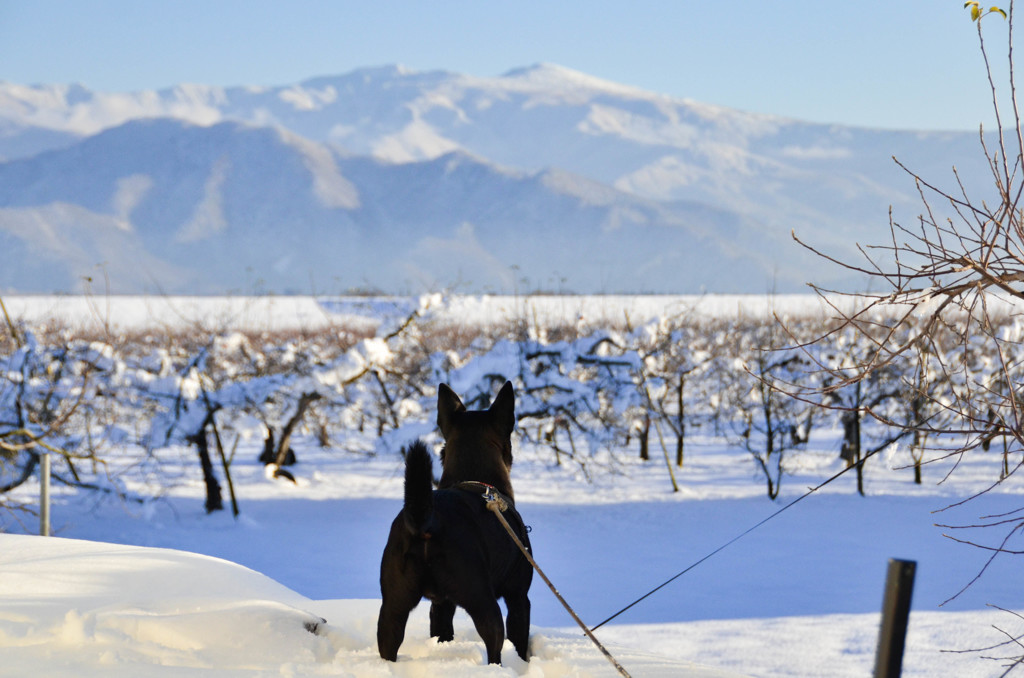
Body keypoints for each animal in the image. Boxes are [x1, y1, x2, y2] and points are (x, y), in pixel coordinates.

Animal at [378, 385, 536, 667]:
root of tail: (428, 522)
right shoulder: (518, 597)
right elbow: (520, 642)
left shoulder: (441, 605)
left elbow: (442, 631)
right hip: (483, 601)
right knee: (494, 646)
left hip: (393, 606)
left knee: (389, 642)